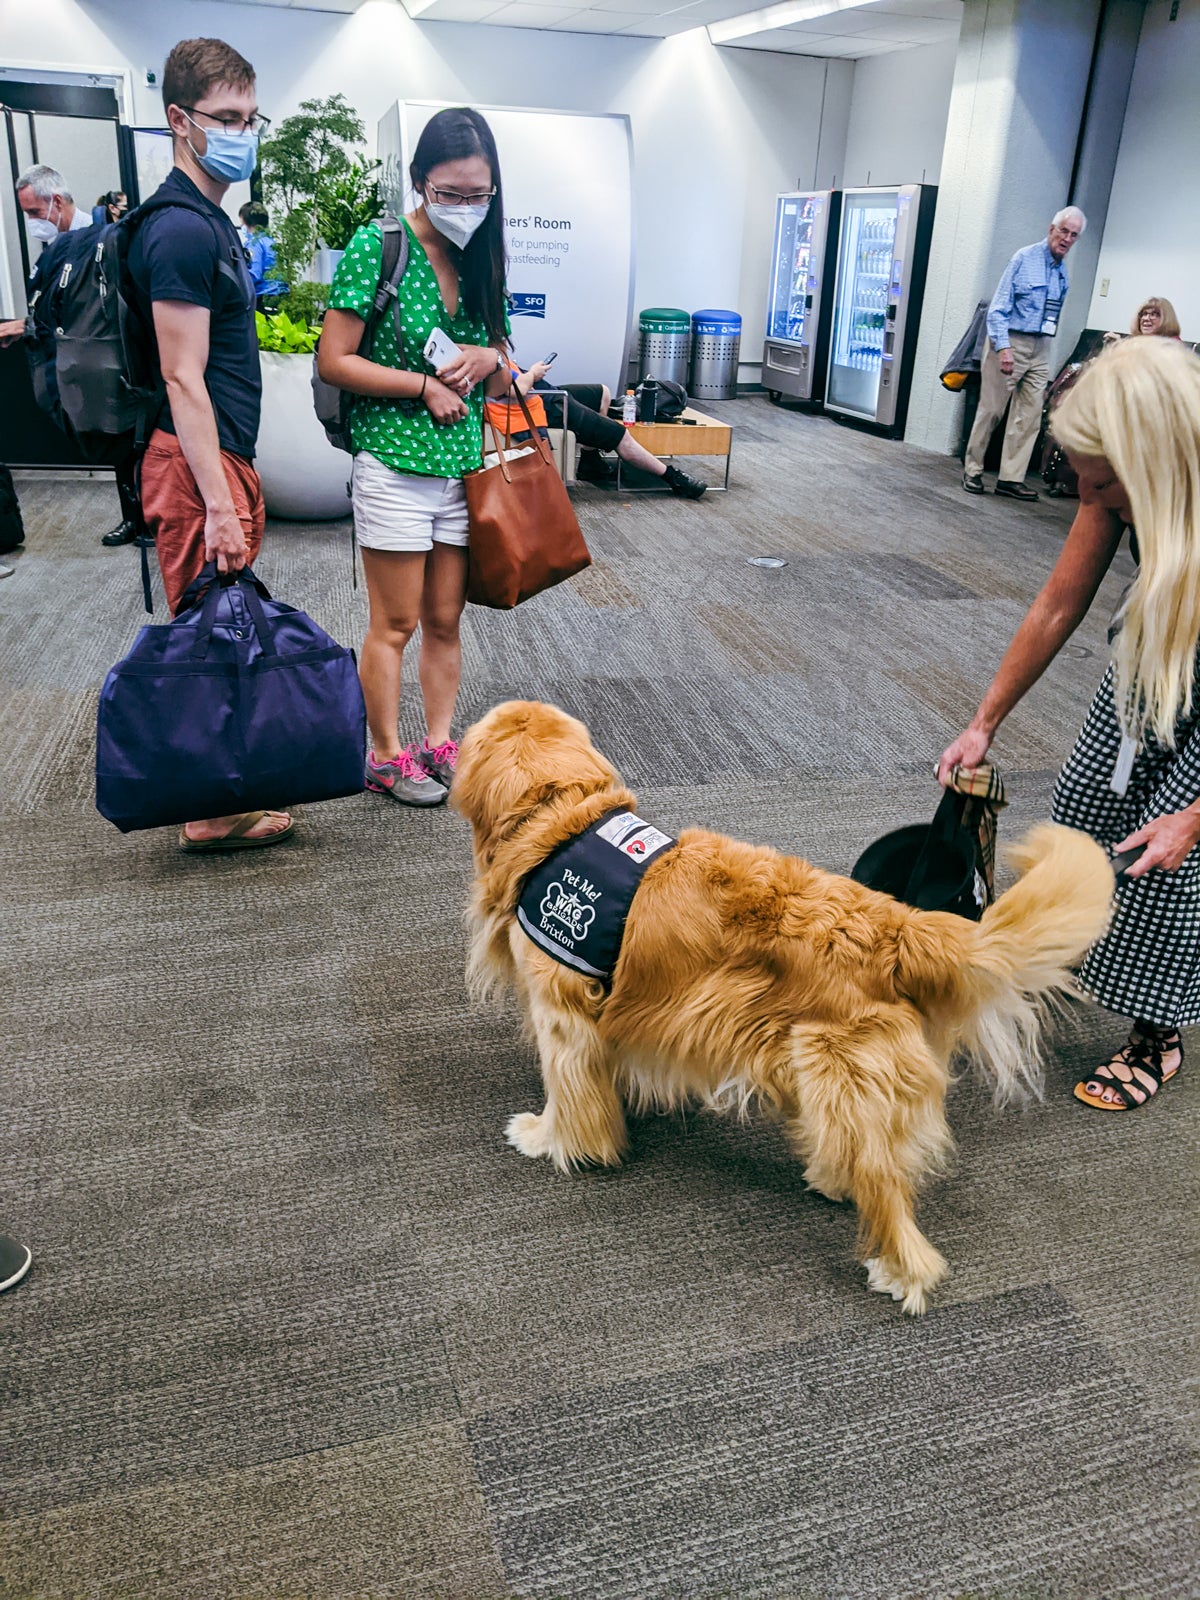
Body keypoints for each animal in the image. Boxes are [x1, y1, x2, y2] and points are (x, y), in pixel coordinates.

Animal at [451, 700, 1120, 1312]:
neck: (563, 823)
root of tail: (898, 927)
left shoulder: (563, 1016)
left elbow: (568, 1095)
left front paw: (549, 1138)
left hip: (842, 1073)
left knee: (890, 1195)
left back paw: (901, 1273)